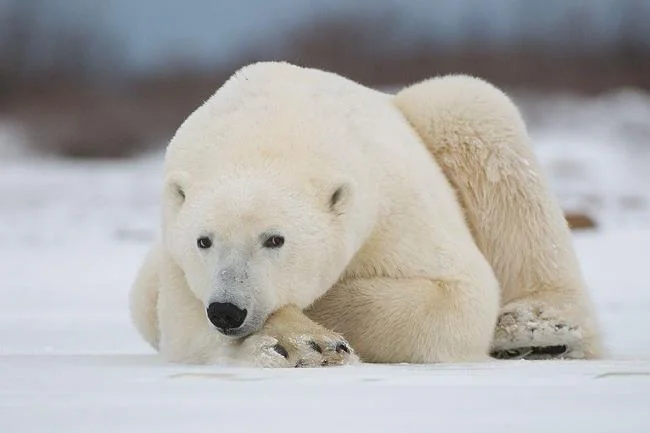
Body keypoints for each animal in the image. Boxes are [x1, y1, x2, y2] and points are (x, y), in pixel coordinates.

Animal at [129, 61, 602, 367]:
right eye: (203, 240)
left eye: (274, 239)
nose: (227, 310)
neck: (271, 133)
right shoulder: (175, 254)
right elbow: (186, 331)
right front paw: (303, 344)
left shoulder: (396, 205)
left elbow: (456, 293)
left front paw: (322, 325)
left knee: (474, 112)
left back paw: (541, 330)